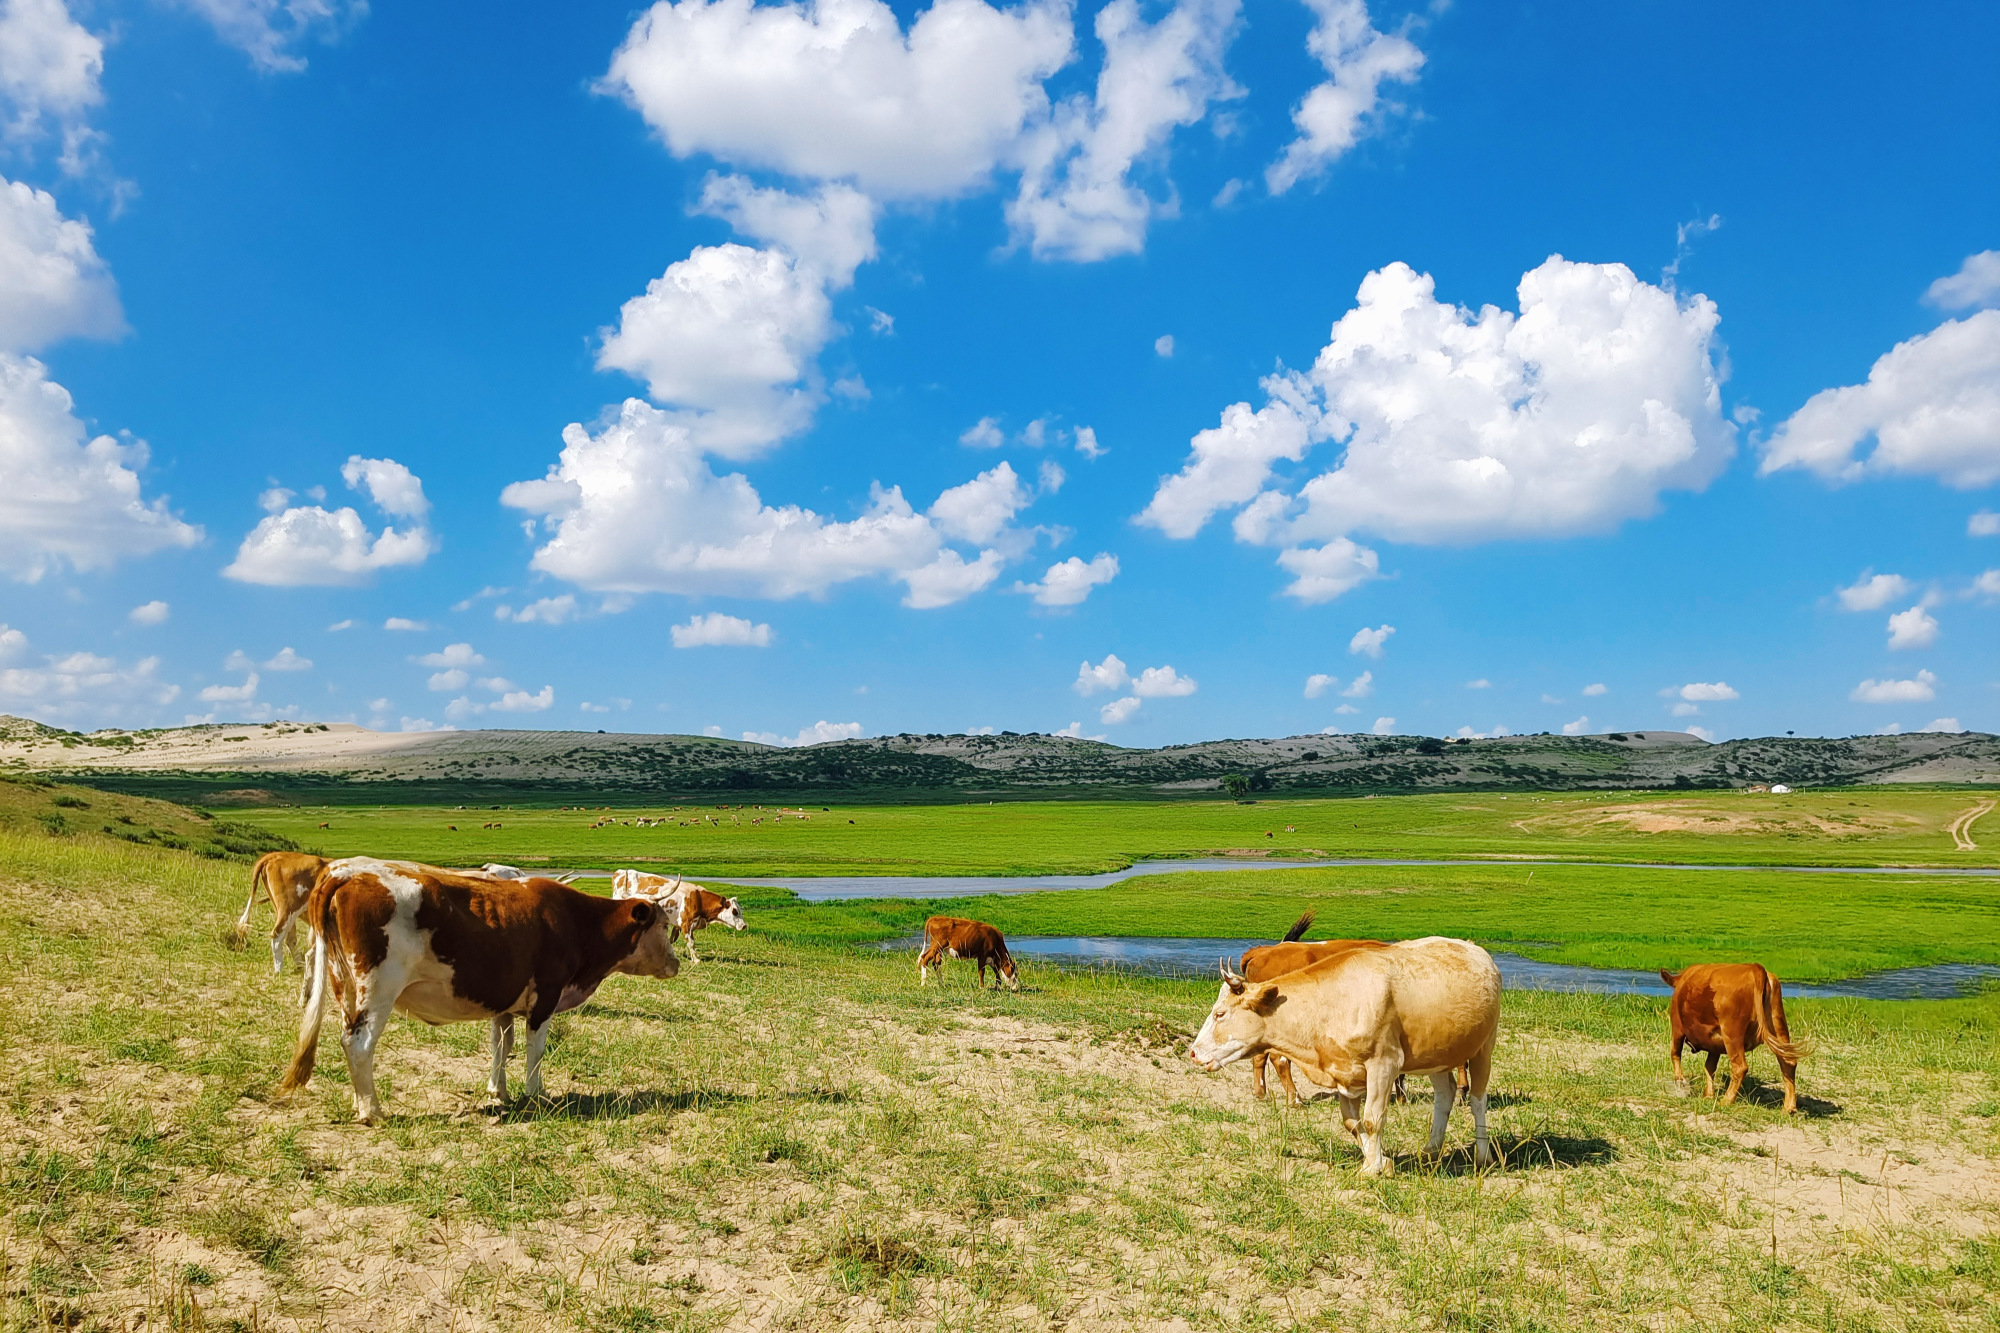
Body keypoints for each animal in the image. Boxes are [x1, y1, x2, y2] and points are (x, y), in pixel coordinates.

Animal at [274, 856, 684, 1112]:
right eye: (665, 925)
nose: (676, 964)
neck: (577, 921)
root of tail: (344, 871)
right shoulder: (545, 997)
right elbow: (535, 1050)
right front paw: (536, 1094)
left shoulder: (503, 1002)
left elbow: (501, 1046)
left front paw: (497, 1091)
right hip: (376, 991)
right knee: (358, 1044)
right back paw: (372, 1110)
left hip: (344, 986)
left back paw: (360, 1101)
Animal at [1184, 932, 1504, 1176]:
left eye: (1220, 1013)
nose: (1194, 1053)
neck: (1330, 1003)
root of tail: (1477, 951)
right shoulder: (1341, 1071)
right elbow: (1352, 1123)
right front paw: (1382, 1162)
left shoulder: (1384, 1064)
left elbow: (1373, 1119)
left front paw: (1371, 1169)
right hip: (1437, 1055)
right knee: (1445, 1094)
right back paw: (1431, 1150)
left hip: (1484, 1046)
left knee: (1478, 1100)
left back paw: (1483, 1156)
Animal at [1656, 960, 1816, 1104]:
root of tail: (1754, 968)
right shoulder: (1714, 1044)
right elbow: (1709, 1067)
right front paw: (1708, 1095)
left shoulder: (1677, 1028)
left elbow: (1675, 1053)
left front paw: (1680, 1080)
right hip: (1779, 1025)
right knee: (1788, 1063)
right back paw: (1788, 1108)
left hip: (1732, 1033)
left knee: (1740, 1067)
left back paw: (1726, 1101)